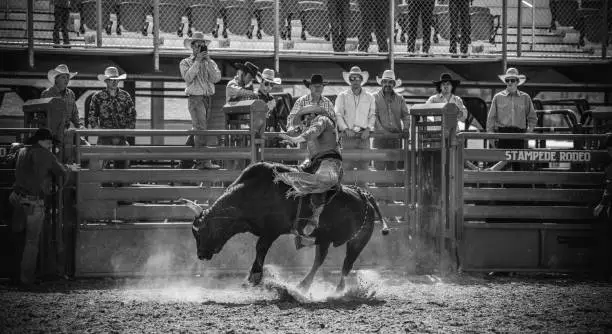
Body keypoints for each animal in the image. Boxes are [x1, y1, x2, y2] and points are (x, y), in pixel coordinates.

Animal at [184, 162, 390, 292]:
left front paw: (254, 277)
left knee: (347, 265)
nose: (200, 255)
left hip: (357, 241)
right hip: (324, 239)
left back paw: (339, 290)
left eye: (201, 232)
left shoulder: (271, 231)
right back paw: (303, 286)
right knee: (319, 261)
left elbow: (260, 247)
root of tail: (365, 196)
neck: (253, 193)